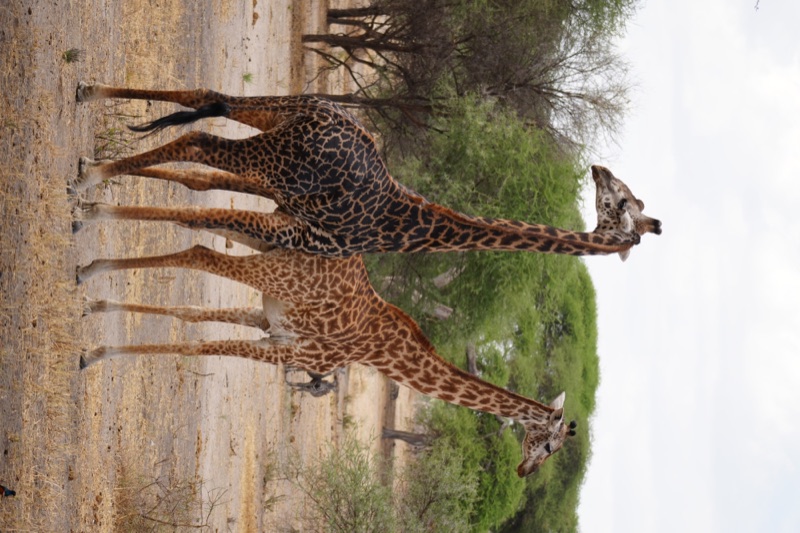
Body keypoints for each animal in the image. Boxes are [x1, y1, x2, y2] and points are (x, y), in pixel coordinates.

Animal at [72, 82, 661, 261]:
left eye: (622, 200)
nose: (597, 167)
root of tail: (323, 114)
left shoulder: (285, 227)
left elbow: (197, 206)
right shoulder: (293, 232)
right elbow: (193, 214)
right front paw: (91, 211)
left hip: (276, 119)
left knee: (204, 98)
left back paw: (89, 95)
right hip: (273, 150)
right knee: (197, 136)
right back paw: (90, 178)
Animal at [78, 245, 577, 477]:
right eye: (550, 446)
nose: (524, 471)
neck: (383, 354)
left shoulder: (271, 325)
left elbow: (189, 315)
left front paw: (96, 322)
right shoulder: (294, 351)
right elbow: (193, 346)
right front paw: (94, 355)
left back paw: (90, 284)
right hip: (266, 272)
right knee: (199, 251)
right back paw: (87, 265)